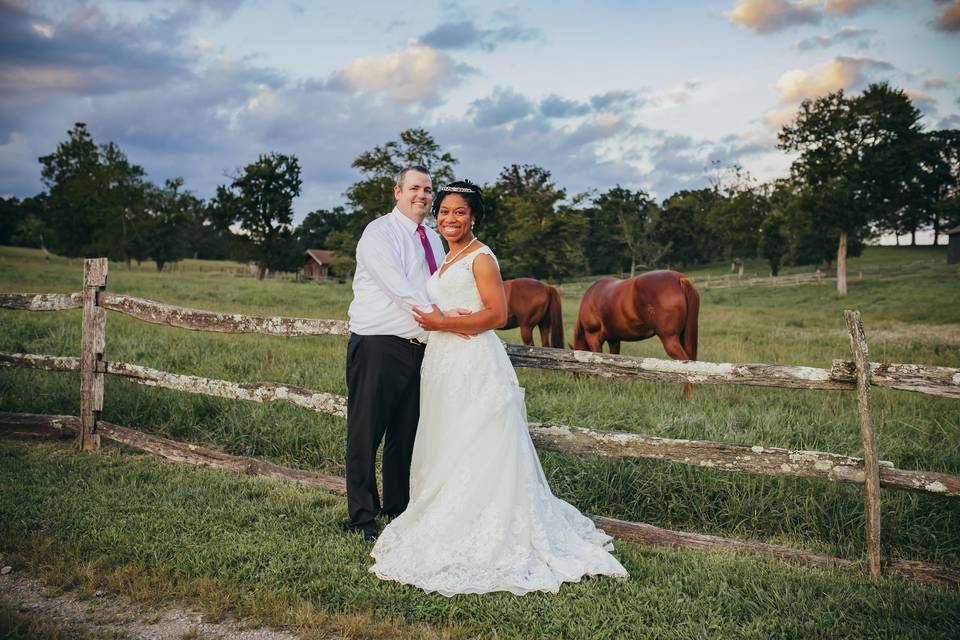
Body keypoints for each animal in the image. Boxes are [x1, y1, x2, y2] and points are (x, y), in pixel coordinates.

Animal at [568, 268, 696, 396]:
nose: (576, 380)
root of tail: (679, 279)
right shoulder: (614, 340)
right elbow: (612, 362)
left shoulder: (593, 338)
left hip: (670, 339)